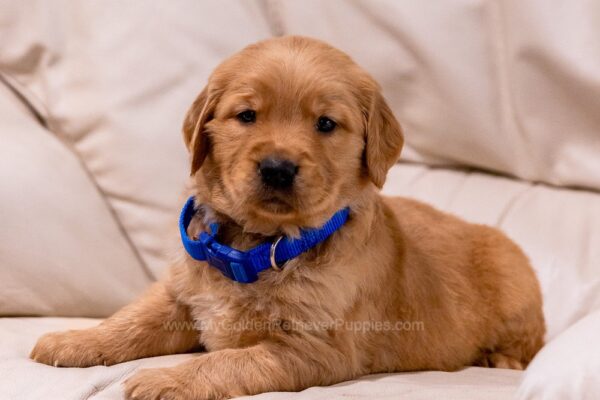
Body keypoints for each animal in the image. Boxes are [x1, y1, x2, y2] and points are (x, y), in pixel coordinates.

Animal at [29, 36, 544, 398]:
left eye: (326, 124)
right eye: (247, 115)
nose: (278, 168)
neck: (255, 245)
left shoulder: (313, 348)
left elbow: (227, 362)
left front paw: (166, 380)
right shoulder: (180, 296)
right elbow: (130, 320)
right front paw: (74, 341)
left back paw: (501, 360)